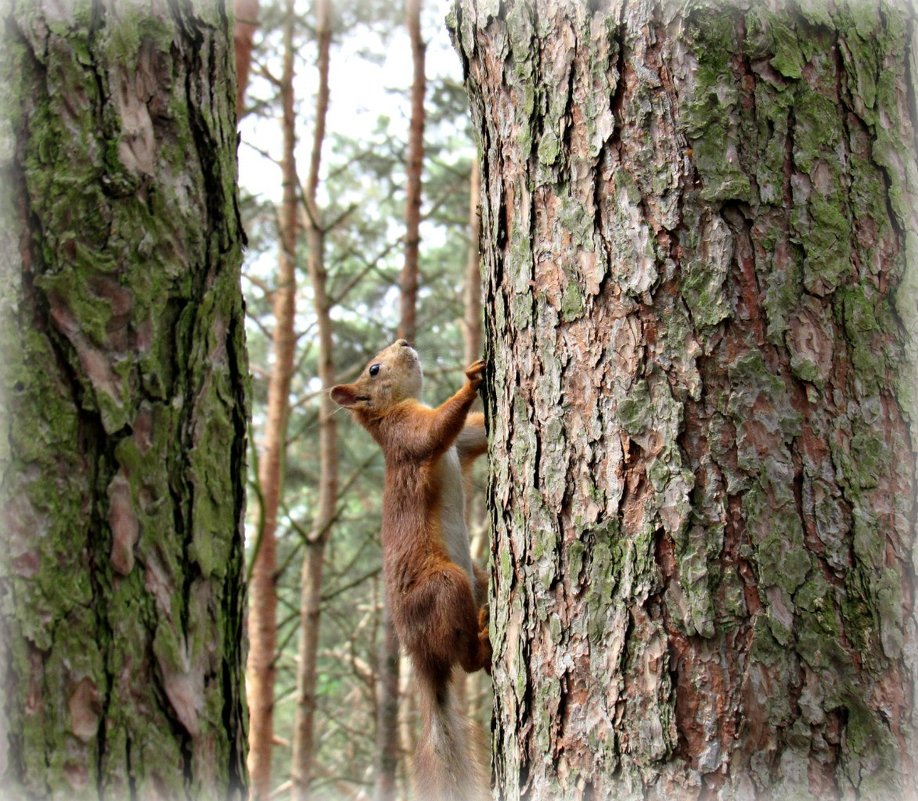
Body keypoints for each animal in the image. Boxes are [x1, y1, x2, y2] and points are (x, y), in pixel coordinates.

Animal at [330, 340, 488, 800]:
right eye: (373, 368)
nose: (402, 342)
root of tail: (419, 654)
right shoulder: (406, 437)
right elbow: (434, 429)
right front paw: (470, 379)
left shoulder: (464, 442)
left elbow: (479, 431)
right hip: (444, 585)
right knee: (465, 661)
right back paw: (483, 642)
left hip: (476, 577)